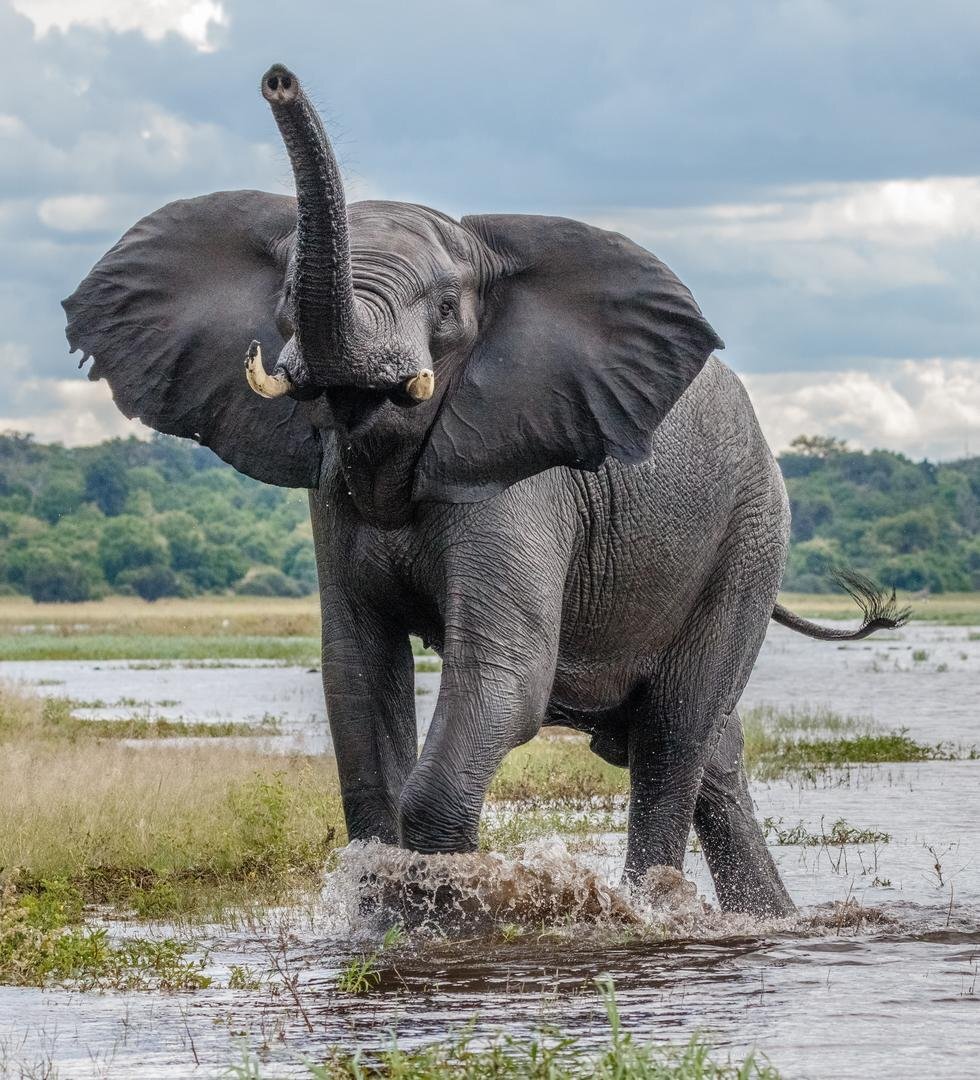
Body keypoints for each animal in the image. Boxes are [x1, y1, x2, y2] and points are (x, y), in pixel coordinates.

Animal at [61, 63, 907, 915]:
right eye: (289, 291)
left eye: (445, 308)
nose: (278, 79)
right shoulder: (332, 497)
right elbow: (357, 678)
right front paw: (383, 910)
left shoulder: (523, 480)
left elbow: (504, 674)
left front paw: (441, 907)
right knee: (710, 757)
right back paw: (761, 917)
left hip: (748, 537)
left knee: (674, 736)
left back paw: (655, 910)